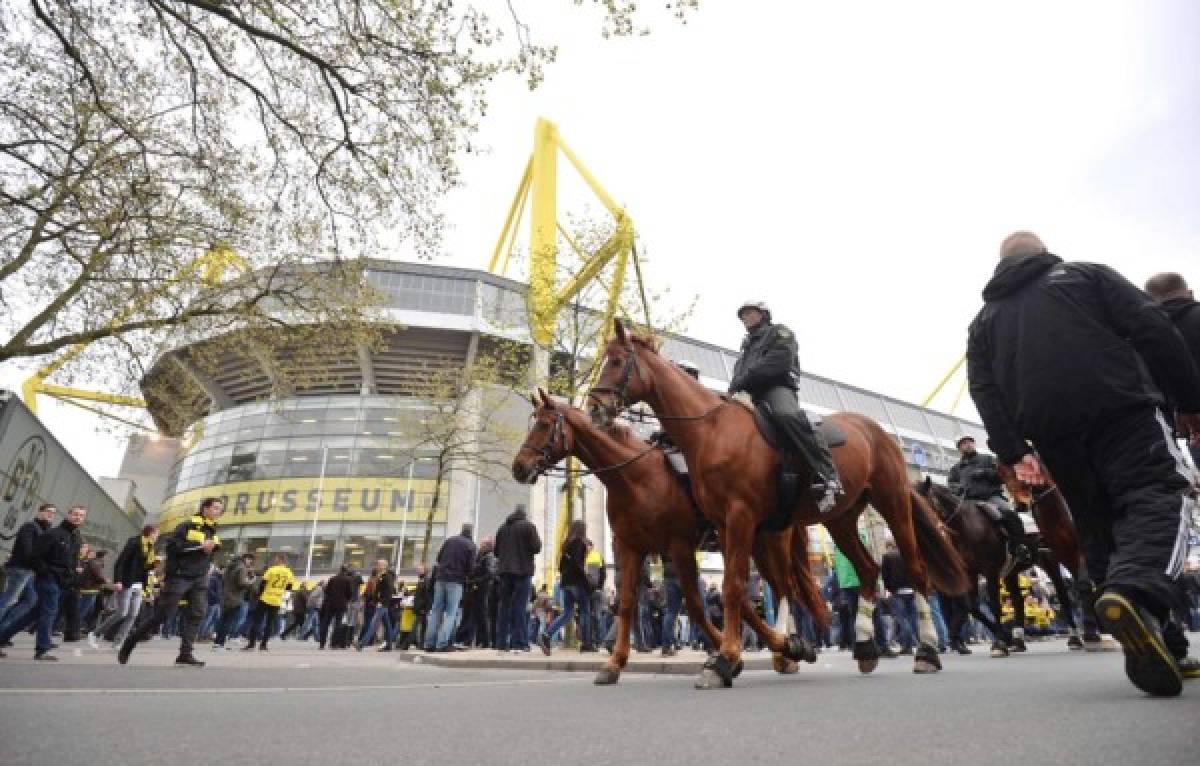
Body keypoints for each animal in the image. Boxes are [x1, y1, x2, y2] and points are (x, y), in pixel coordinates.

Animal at [511, 393, 830, 686]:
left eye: (545, 425)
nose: (519, 467)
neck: (634, 477)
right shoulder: (630, 547)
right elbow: (627, 604)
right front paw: (615, 663)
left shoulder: (679, 546)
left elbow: (696, 606)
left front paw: (727, 658)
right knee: (753, 595)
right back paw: (783, 648)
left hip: (767, 543)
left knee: (784, 589)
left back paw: (787, 648)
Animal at [585, 319, 969, 691]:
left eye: (616, 361)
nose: (593, 408)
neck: (711, 431)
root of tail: (878, 432)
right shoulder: (720, 526)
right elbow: (732, 589)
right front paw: (742, 655)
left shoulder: (737, 519)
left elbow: (732, 586)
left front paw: (724, 660)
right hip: (839, 520)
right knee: (866, 570)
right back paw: (863, 648)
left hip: (890, 503)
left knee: (915, 570)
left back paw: (926, 653)